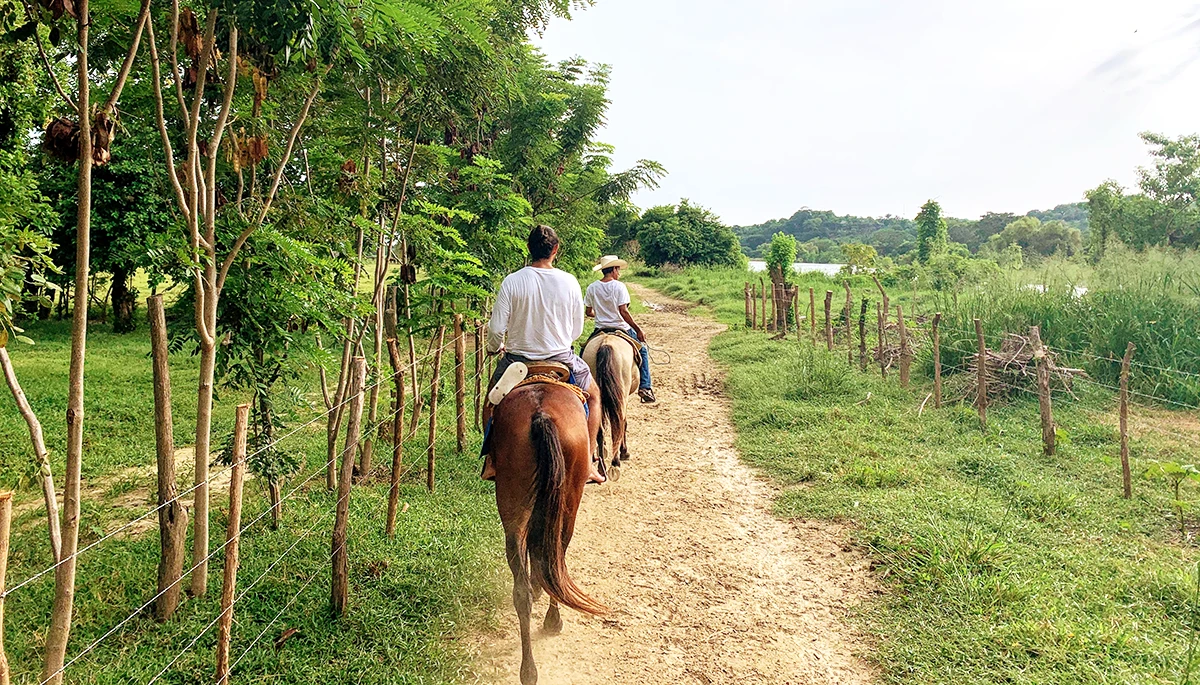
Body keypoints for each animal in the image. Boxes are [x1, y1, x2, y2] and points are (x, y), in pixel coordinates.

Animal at [484, 383, 604, 681]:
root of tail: (541, 415)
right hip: (567, 499)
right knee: (556, 562)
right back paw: (552, 621)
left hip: (514, 499)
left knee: (522, 585)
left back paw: (528, 670)